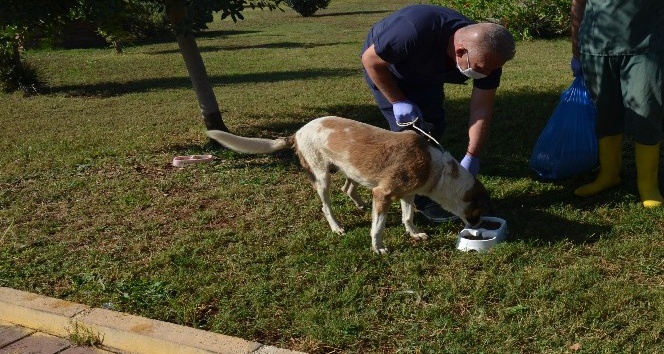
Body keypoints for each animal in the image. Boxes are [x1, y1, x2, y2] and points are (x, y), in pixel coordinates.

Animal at [208, 117, 492, 253]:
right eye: (478, 211)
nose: (479, 227)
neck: (438, 170)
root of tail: (297, 132)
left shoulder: (407, 194)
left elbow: (408, 217)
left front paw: (413, 234)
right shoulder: (384, 193)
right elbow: (378, 227)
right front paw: (378, 248)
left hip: (350, 170)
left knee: (347, 189)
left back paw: (361, 205)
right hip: (322, 178)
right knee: (326, 206)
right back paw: (337, 227)